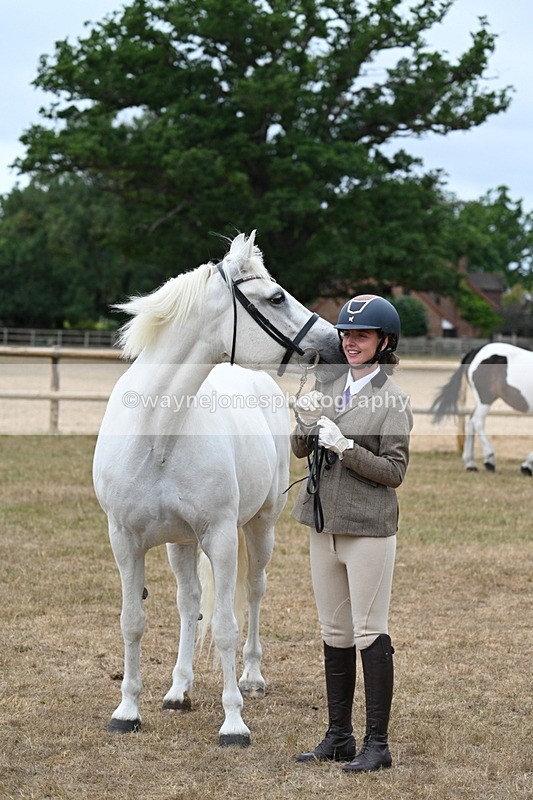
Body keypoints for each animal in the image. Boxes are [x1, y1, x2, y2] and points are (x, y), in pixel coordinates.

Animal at [92, 231, 341, 746]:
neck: (158, 433)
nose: (335, 344)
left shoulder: (222, 538)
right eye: (276, 297)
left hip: (259, 530)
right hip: (180, 544)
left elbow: (226, 626)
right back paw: (178, 689)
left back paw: (252, 678)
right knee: (189, 605)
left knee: (253, 593)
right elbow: (133, 622)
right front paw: (127, 711)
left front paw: (233, 722)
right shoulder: (124, 540)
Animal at [430, 342, 533, 473]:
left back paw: (470, 464)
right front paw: (526, 466)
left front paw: (527, 466)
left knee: (470, 422)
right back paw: (489, 460)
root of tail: (475, 351)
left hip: (482, 401)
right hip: (485, 399)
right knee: (478, 422)